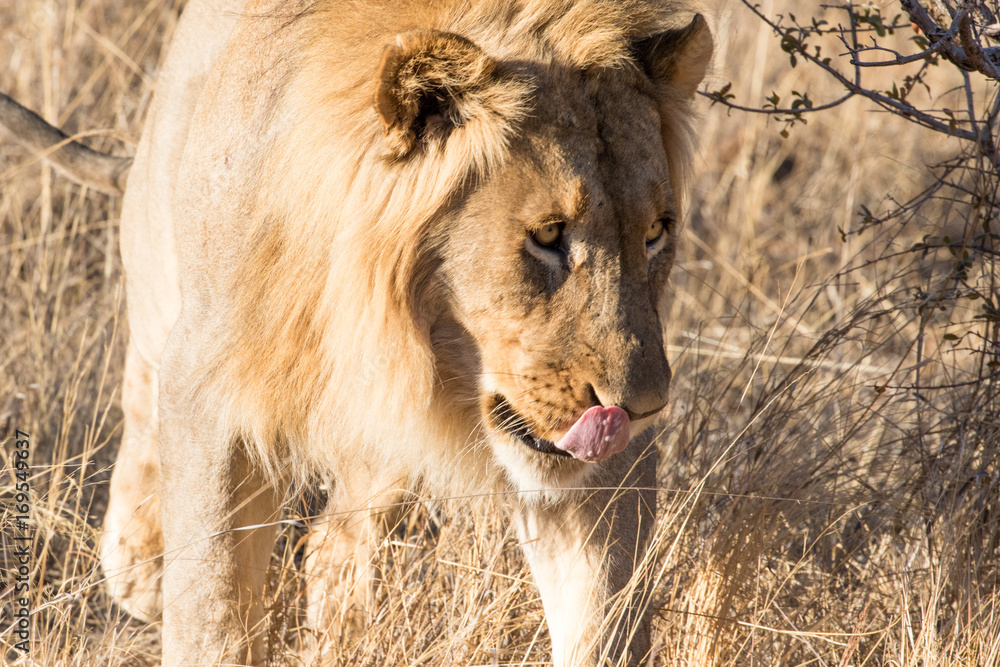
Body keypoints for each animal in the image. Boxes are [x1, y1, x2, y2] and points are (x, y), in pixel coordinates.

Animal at [0, 0, 713, 664]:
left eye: (656, 233)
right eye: (548, 236)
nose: (644, 408)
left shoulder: (591, 464)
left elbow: (605, 616)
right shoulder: (208, 390)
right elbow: (213, 607)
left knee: (333, 551)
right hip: (155, 276)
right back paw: (141, 560)